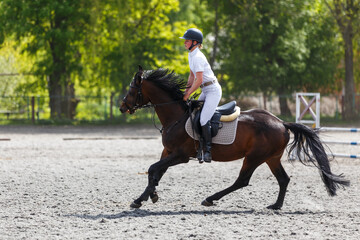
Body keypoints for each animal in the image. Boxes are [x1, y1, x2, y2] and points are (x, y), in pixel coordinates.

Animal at [120, 65, 348, 210]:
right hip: (271, 158)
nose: (122, 107)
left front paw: (143, 198)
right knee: (283, 179)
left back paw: (210, 199)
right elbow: (156, 172)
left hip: (255, 157)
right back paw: (276, 205)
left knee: (242, 180)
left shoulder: (181, 155)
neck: (176, 116)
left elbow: (153, 169)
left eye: (132, 90)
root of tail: (281, 122)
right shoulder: (168, 151)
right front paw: (148, 196)